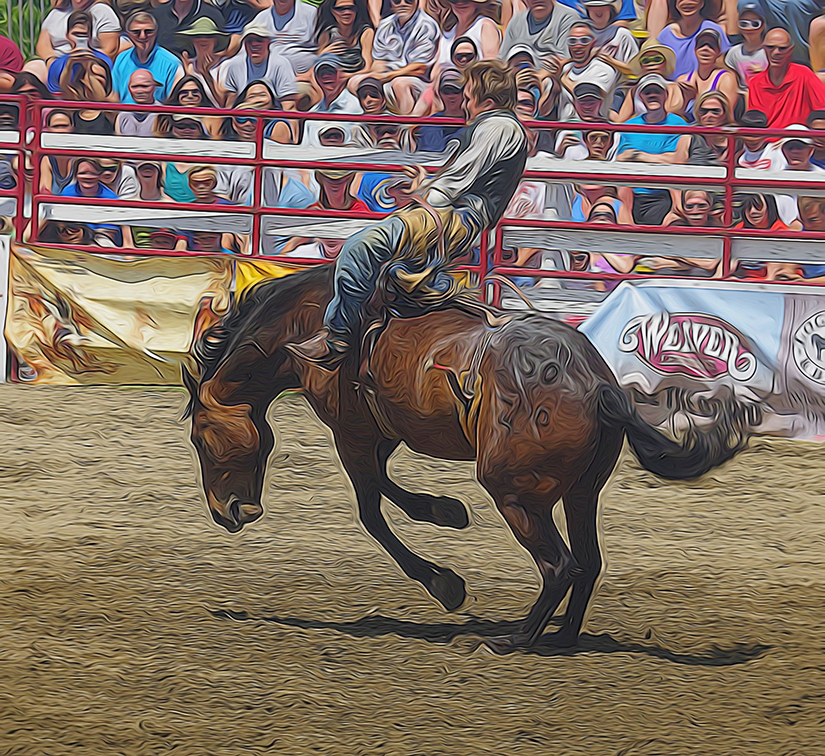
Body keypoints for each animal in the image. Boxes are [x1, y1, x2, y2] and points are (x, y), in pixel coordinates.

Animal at [183, 264, 756, 648]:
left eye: (199, 438)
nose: (226, 513)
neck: (306, 325)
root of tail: (598, 384)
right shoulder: (384, 430)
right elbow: (386, 491)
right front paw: (444, 515)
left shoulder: (352, 432)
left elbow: (371, 509)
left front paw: (445, 574)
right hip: (580, 493)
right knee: (588, 562)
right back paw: (563, 637)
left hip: (515, 492)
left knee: (561, 565)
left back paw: (515, 638)